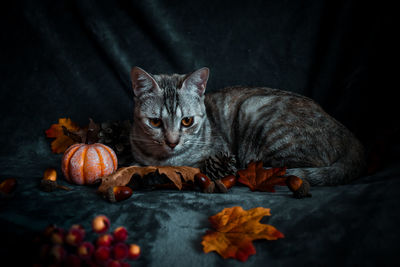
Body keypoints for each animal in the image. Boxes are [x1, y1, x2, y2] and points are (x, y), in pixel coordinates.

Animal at [129, 66, 366, 186]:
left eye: (187, 121)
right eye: (155, 122)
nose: (172, 142)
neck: (164, 160)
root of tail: (348, 133)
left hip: (254, 110)